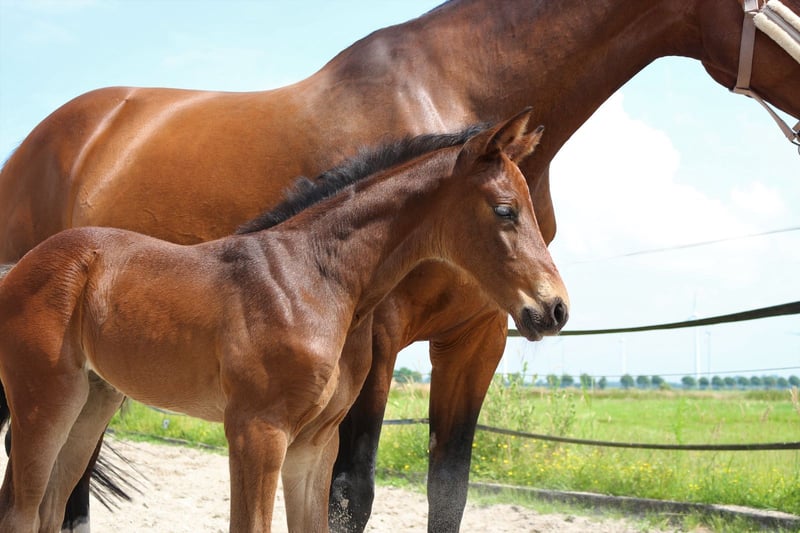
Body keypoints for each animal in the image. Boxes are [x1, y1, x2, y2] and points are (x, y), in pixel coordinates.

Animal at [0, 111, 568, 532]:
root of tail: (19, 267)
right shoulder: (257, 431)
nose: (555, 308)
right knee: (22, 510)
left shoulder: (315, 444)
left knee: (49, 507)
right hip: (44, 402)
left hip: (92, 401)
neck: (312, 278)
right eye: (505, 210)